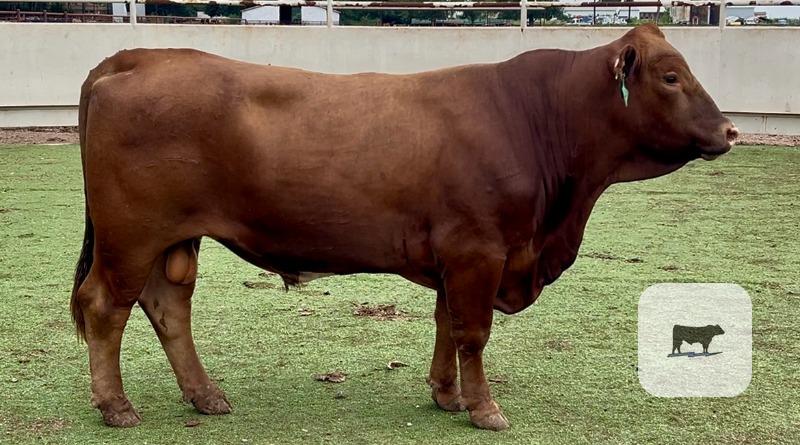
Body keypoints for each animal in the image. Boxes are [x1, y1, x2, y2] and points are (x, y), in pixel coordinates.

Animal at [71, 24, 738, 431]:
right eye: (671, 77)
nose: (730, 131)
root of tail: (137, 57)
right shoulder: (479, 250)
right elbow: (473, 332)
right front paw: (485, 409)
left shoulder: (457, 256)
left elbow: (447, 323)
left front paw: (446, 395)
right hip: (131, 236)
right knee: (106, 307)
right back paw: (116, 406)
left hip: (172, 239)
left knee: (167, 305)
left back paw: (205, 396)